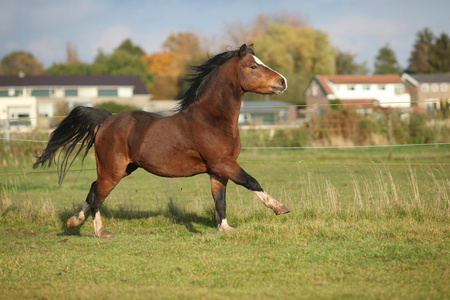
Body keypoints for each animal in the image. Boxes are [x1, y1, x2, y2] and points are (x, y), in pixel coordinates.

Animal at [34, 44, 288, 237]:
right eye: (253, 66)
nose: (283, 81)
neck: (211, 119)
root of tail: (107, 119)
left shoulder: (218, 170)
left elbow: (220, 200)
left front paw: (225, 228)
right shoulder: (223, 163)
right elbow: (251, 181)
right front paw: (280, 207)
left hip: (123, 168)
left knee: (93, 189)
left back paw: (73, 221)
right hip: (112, 169)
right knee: (97, 195)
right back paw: (100, 232)